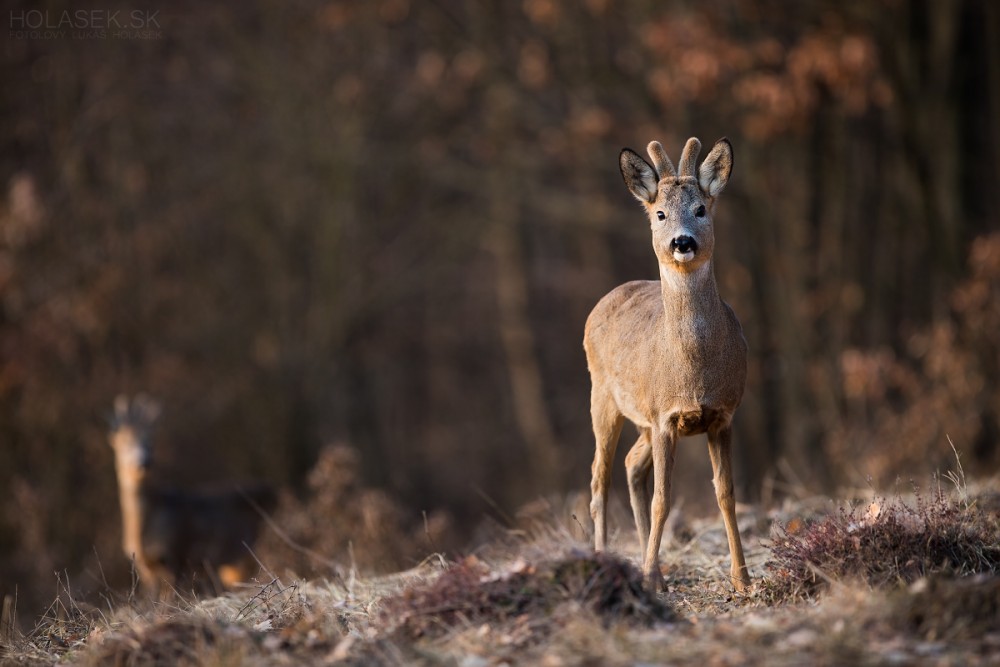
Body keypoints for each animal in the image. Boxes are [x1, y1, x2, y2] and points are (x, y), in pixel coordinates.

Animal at [108, 394, 278, 596]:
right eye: (125, 442)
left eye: (151, 442)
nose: (144, 462)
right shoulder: (144, 564)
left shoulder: (176, 553)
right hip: (233, 564)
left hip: (258, 547)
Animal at [584, 138, 752, 592]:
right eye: (660, 213)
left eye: (701, 209)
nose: (682, 242)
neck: (693, 372)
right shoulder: (664, 417)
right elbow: (664, 498)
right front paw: (650, 575)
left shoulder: (723, 415)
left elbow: (726, 494)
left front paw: (742, 578)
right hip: (603, 397)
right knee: (599, 477)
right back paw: (609, 560)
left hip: (640, 418)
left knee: (630, 465)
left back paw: (647, 558)